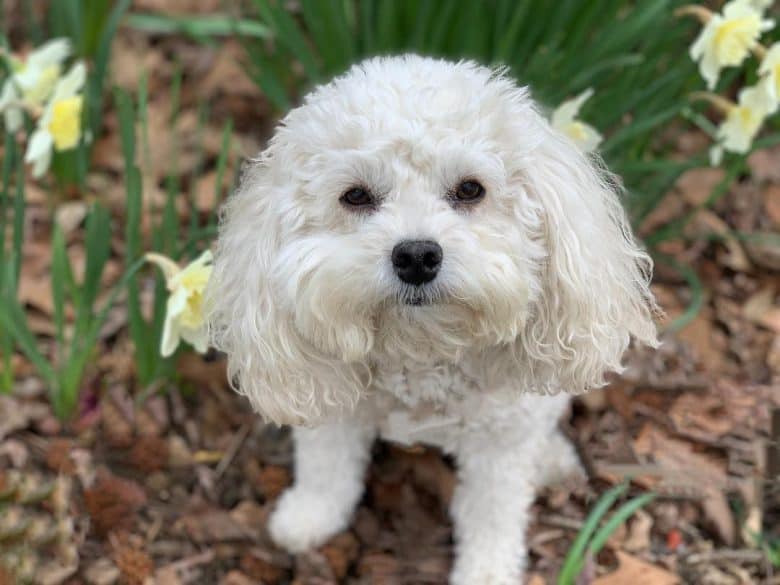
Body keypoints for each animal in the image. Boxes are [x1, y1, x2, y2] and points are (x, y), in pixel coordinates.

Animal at [207, 56, 660, 584]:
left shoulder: (498, 446)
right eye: (355, 196)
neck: (421, 354)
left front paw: (487, 571)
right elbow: (328, 470)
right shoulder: (336, 407)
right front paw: (308, 516)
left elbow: (492, 513)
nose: (417, 256)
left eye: (470, 189)